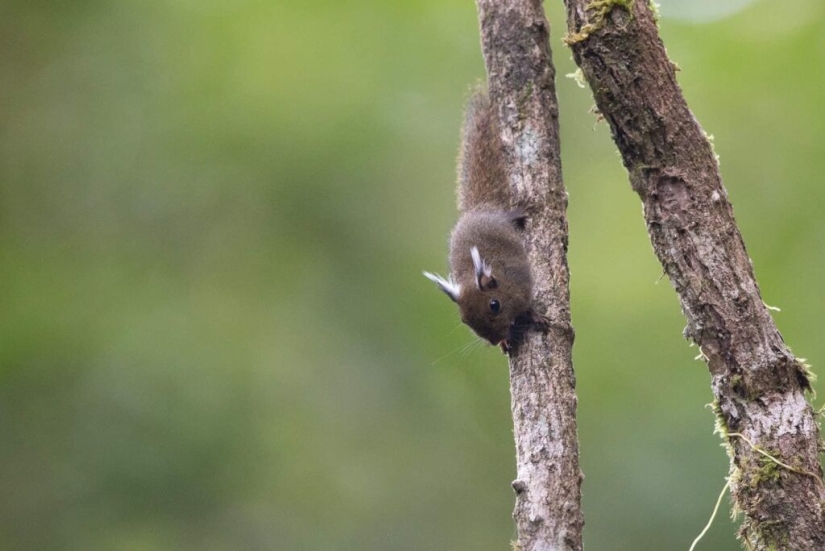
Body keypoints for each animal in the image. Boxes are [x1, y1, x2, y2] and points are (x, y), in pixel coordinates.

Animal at [424, 89, 547, 355]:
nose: (493, 339)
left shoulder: (522, 285)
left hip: (505, 217)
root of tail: (479, 208)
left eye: (494, 305)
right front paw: (505, 342)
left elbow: (528, 305)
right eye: (464, 320)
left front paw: (535, 316)